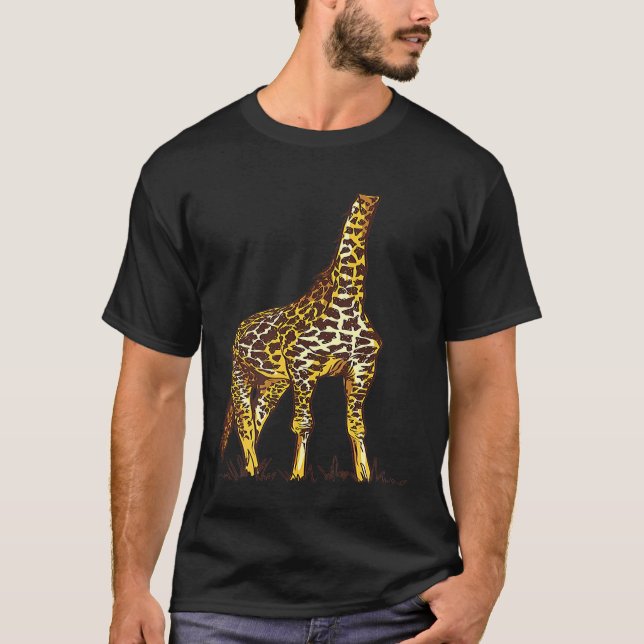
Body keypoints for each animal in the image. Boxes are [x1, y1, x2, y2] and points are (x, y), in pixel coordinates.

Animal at [219, 194, 383, 481]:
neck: (347, 297)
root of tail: (241, 326)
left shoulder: (363, 368)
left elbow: (356, 426)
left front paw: (365, 477)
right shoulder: (304, 367)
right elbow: (303, 424)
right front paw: (297, 477)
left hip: (274, 383)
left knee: (257, 420)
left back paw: (254, 471)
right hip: (241, 372)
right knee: (244, 421)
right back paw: (251, 472)